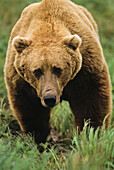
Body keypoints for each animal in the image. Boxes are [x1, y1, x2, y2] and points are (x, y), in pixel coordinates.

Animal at [4, 0, 111, 143]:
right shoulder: (20, 78)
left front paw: (91, 134)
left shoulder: (85, 68)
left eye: (58, 69)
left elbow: (91, 100)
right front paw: (38, 137)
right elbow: (30, 107)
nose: (49, 98)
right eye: (37, 71)